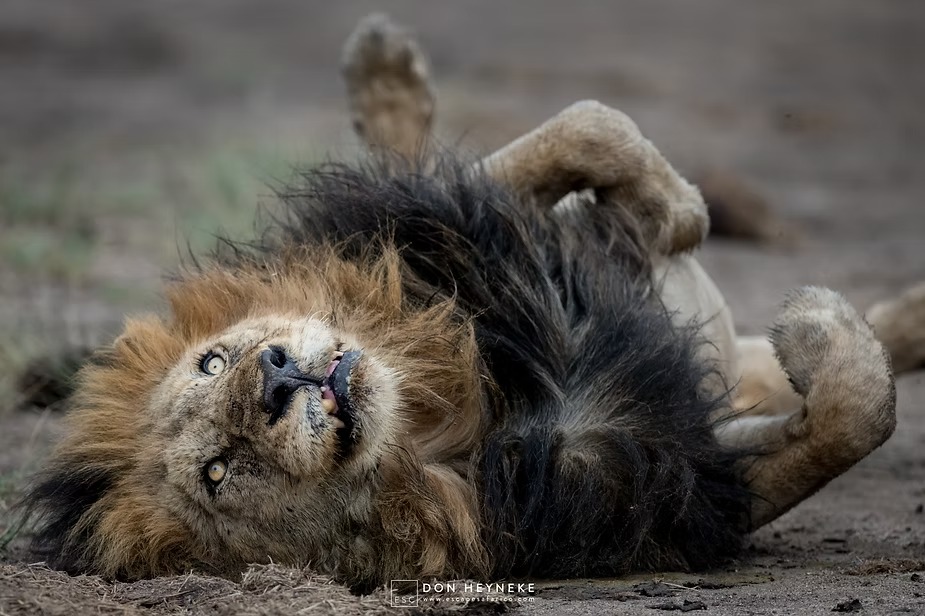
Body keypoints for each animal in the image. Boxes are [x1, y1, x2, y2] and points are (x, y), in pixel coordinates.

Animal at [22, 14, 913, 591]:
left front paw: (673, 212)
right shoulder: (671, 485)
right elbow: (850, 421)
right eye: (218, 470)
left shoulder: (449, 233)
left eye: (214, 361)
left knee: (409, 142)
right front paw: (813, 324)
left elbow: (585, 128)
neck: (446, 398)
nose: (273, 378)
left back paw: (382, 62)